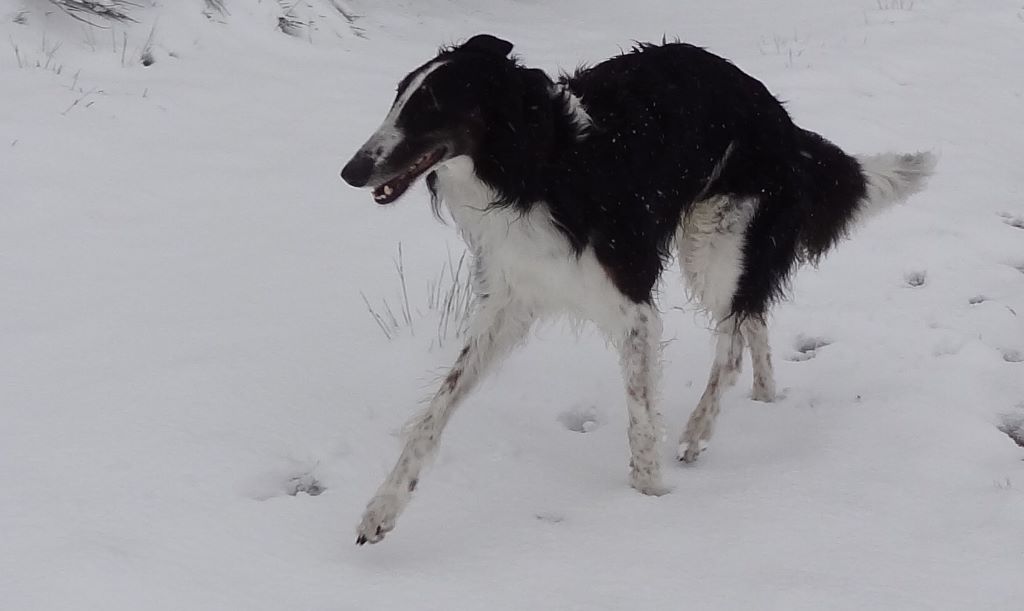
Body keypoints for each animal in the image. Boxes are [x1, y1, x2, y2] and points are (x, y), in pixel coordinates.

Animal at [342, 33, 937, 544]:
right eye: (399, 98)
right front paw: (381, 510)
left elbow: (641, 420)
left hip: (715, 244)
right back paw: (765, 397)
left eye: (430, 107)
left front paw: (649, 505)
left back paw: (698, 431)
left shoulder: (634, 310)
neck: (538, 167)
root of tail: (783, 121)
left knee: (732, 340)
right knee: (753, 317)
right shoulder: (508, 302)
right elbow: (432, 415)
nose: (350, 171)